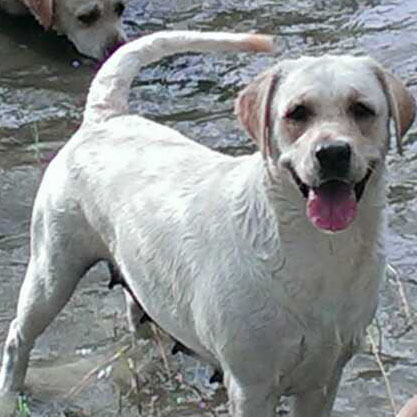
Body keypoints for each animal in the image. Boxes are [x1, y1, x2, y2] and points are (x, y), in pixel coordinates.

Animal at [0, 30, 414, 416]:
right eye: (297, 113)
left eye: (361, 109)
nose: (332, 152)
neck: (317, 249)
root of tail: (104, 116)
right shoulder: (251, 387)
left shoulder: (324, 380)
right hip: (52, 269)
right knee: (18, 335)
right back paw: (10, 394)